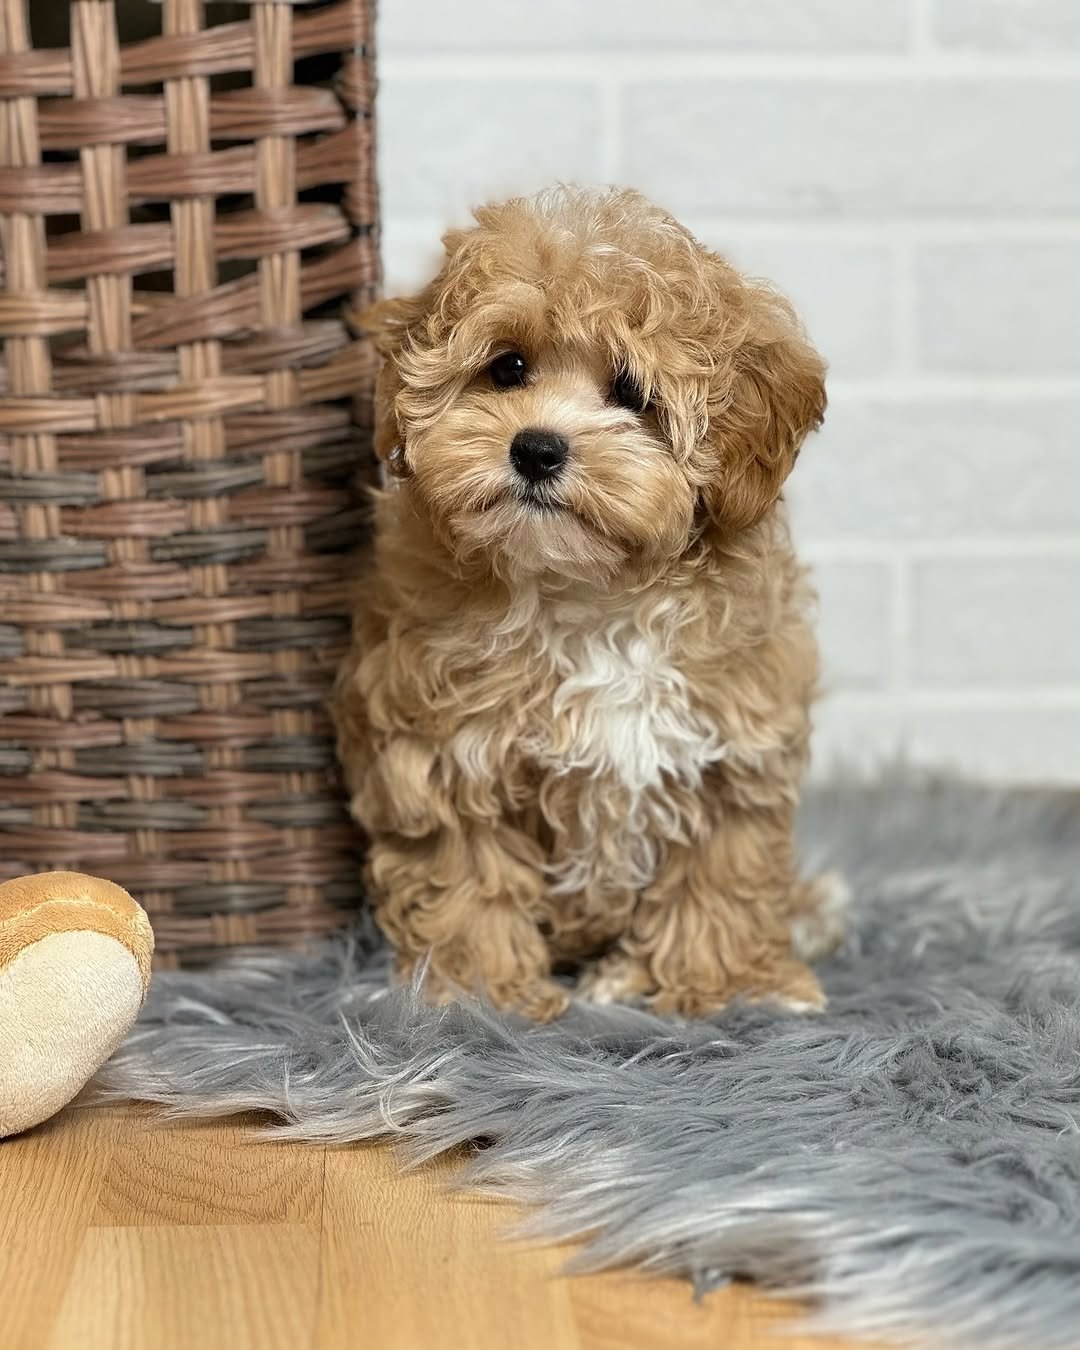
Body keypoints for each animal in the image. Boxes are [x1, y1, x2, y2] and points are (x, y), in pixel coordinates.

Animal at [333, 184, 847, 1015]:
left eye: (632, 393)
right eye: (508, 367)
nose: (537, 448)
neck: (589, 594)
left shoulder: (732, 750)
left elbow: (721, 873)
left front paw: (721, 986)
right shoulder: (442, 753)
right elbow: (468, 872)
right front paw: (483, 993)